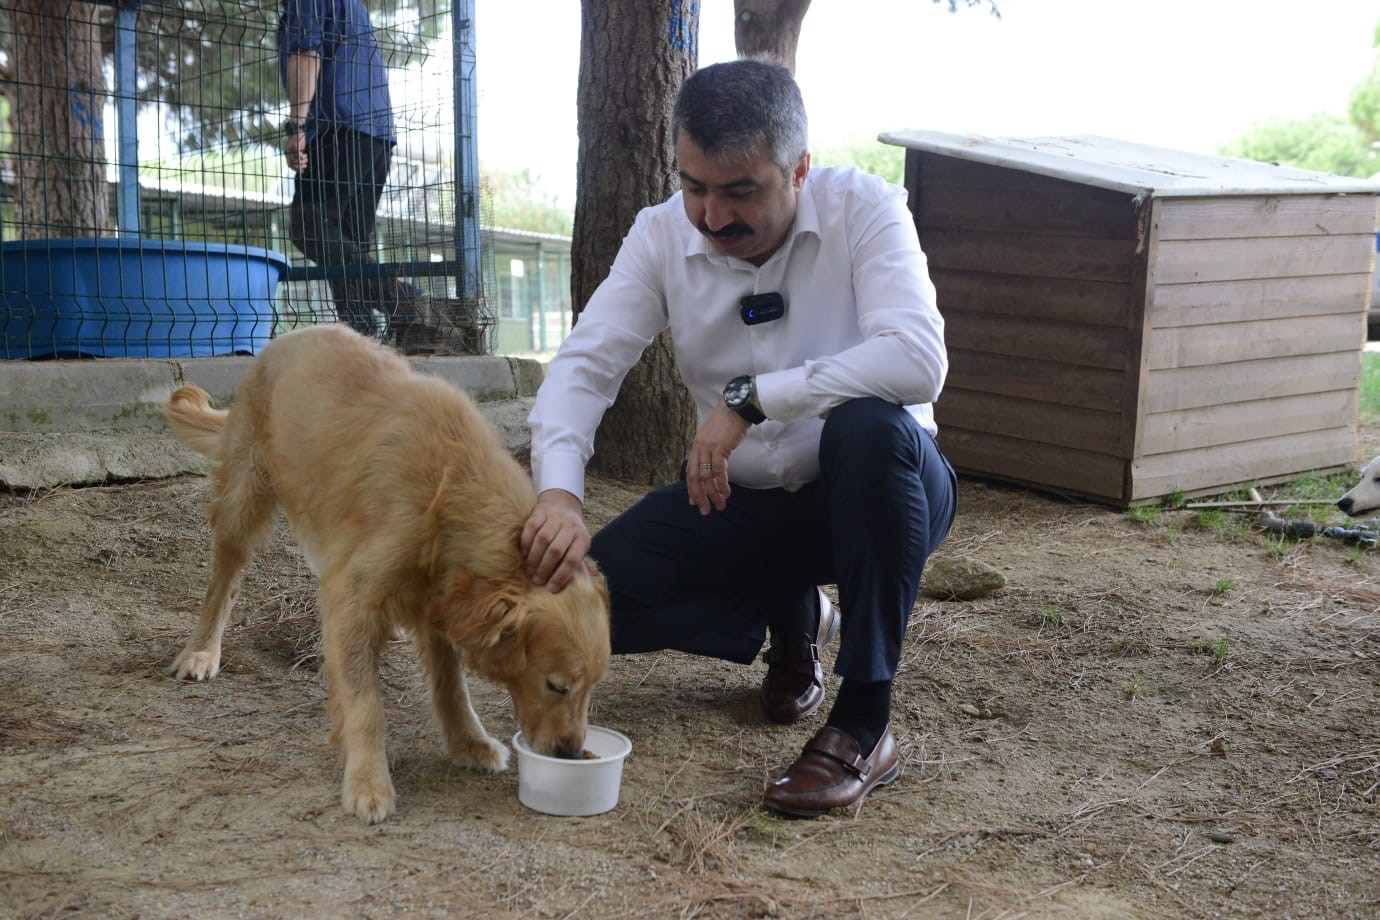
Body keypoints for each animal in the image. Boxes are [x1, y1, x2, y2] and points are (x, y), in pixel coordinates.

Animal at [161, 322, 609, 822]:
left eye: (593, 686)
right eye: (557, 686)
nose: (572, 754)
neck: (451, 490)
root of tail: (290, 335)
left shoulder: (436, 600)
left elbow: (451, 686)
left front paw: (468, 743)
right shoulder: (353, 602)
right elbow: (366, 704)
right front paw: (368, 782)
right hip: (244, 500)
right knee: (223, 582)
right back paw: (201, 651)